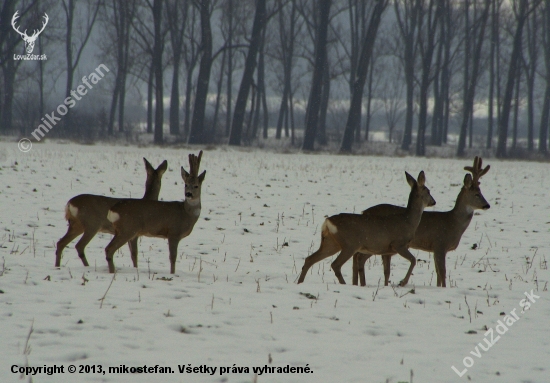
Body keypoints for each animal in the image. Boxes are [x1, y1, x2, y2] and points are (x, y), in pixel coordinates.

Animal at [298, 172, 436, 286]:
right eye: (428, 191)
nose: (434, 202)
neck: (408, 222)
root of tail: (327, 222)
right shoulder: (398, 244)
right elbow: (413, 260)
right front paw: (402, 282)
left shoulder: (385, 250)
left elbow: (388, 270)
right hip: (350, 243)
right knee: (335, 264)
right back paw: (344, 284)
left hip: (330, 242)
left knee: (310, 259)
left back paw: (300, 282)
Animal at [356, 157, 494, 288]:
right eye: (477, 194)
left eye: (481, 192)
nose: (487, 205)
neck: (453, 223)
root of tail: (364, 212)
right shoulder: (440, 244)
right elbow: (442, 272)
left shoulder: (434, 248)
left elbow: (438, 272)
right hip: (376, 242)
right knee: (360, 258)